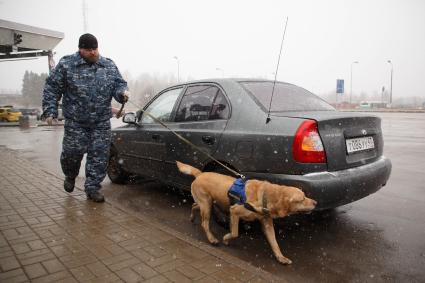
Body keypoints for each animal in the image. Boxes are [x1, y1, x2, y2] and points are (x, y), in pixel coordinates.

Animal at [174, 162, 316, 266]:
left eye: (305, 196)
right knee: (204, 223)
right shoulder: (234, 211)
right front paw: (226, 239)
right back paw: (212, 239)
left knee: (194, 205)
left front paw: (281, 257)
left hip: (207, 203)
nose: (315, 202)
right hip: (207, 205)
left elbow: (274, 242)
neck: (265, 196)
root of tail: (200, 174)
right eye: (302, 199)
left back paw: (192, 217)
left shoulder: (267, 223)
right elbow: (235, 233)